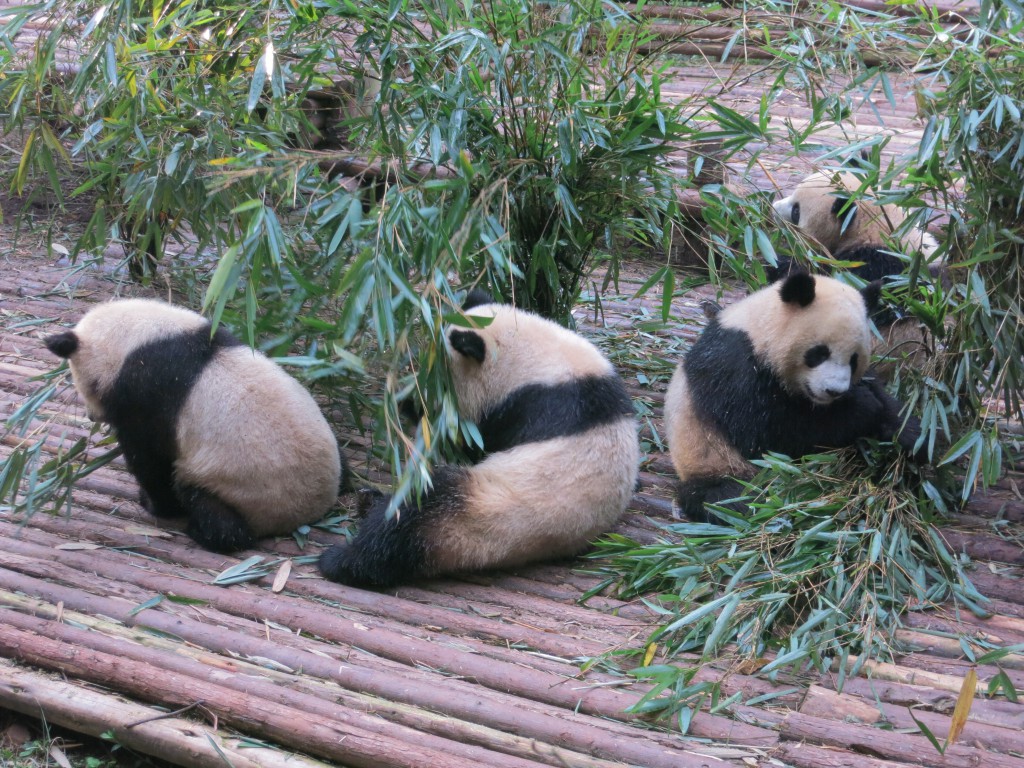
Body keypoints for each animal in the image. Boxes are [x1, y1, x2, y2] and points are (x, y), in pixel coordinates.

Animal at [44, 296, 344, 552]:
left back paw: (202, 531)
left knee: (212, 511)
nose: (92, 416)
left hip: (237, 489)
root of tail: (312, 510)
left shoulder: (147, 392)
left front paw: (152, 503)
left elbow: (150, 459)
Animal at [319, 290, 638, 585]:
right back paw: (368, 500)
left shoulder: (528, 407)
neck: (540, 360)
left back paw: (341, 560)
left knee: (409, 518)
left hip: (473, 512)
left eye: (436, 383)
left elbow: (474, 443)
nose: (411, 403)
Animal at [663, 272, 929, 524]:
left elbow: (886, 401)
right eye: (819, 353)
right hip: (711, 460)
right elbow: (766, 435)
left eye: (854, 359)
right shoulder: (735, 367)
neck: (759, 327)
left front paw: (914, 438)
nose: (834, 391)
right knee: (732, 497)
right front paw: (862, 407)